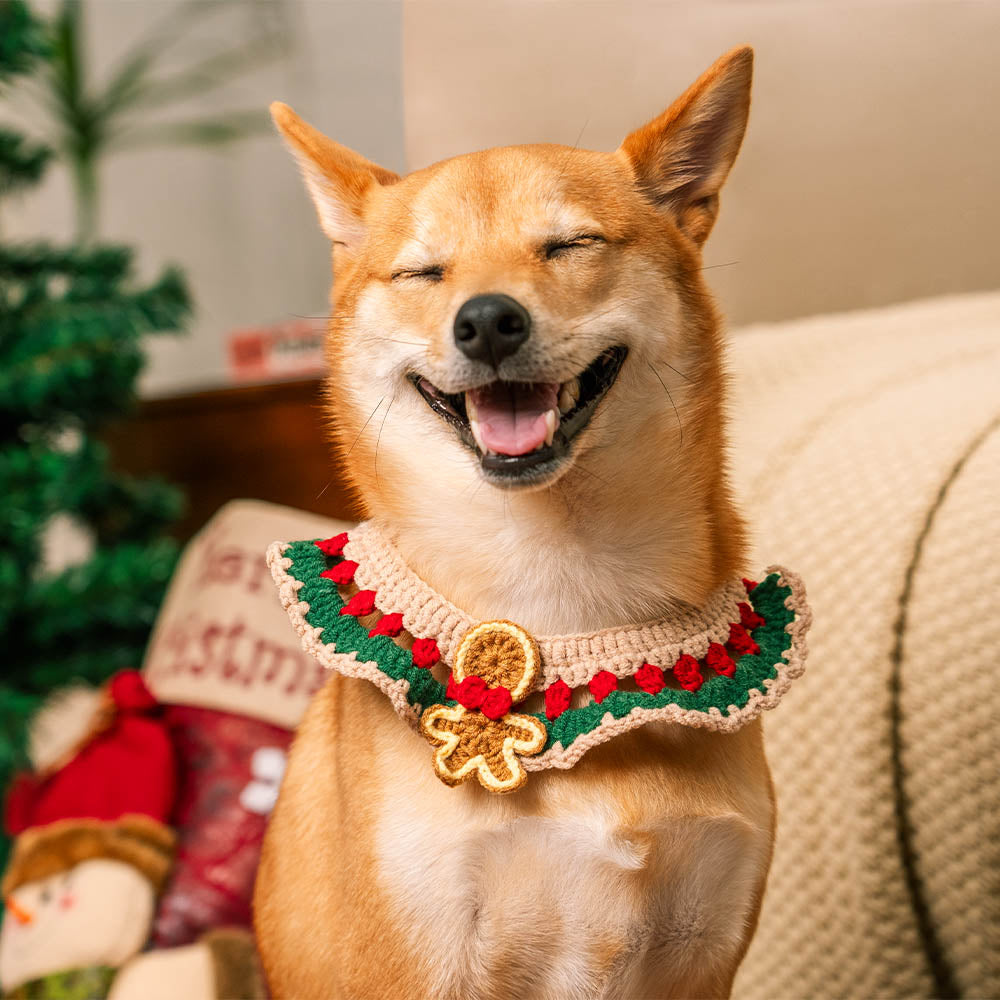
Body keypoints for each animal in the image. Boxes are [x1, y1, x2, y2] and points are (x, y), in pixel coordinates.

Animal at [256, 47, 772, 1000]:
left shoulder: (705, 957)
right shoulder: (417, 964)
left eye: (570, 245)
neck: (560, 594)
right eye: (423, 273)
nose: (489, 320)